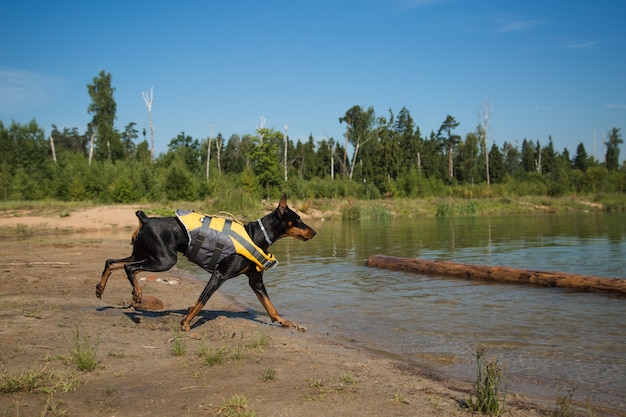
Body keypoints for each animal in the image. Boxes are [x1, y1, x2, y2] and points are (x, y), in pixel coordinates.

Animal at [95, 193, 314, 332]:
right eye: (298, 219)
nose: (314, 232)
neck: (256, 236)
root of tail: (146, 220)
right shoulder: (219, 275)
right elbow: (202, 300)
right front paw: (185, 323)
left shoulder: (255, 280)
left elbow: (271, 307)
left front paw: (286, 322)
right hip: (164, 260)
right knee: (129, 267)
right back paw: (137, 294)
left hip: (146, 254)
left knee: (112, 262)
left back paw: (100, 289)